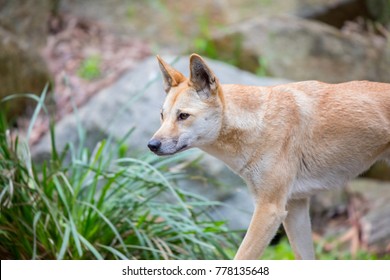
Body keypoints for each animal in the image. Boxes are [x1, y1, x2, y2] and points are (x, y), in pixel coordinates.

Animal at [147, 53, 390, 260]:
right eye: (162, 116)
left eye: (183, 116)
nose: (152, 145)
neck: (259, 124)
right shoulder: (294, 208)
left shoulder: (269, 210)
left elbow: (240, 258)